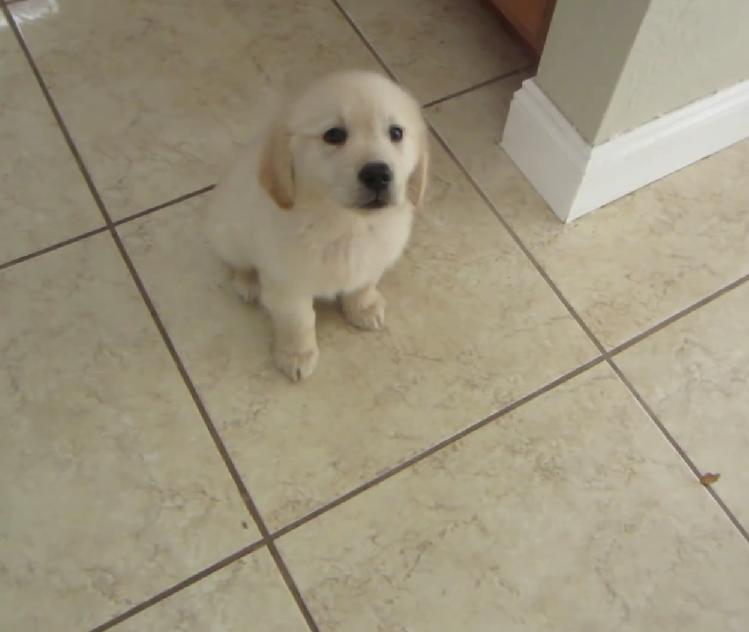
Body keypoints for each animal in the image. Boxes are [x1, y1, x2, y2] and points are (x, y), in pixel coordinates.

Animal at [206, 72, 426, 382]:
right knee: (239, 262)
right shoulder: (288, 284)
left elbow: (364, 283)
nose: (378, 174)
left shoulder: (375, 257)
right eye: (334, 135)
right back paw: (248, 283)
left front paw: (364, 306)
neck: (346, 223)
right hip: (226, 233)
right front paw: (296, 354)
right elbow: (298, 320)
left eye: (396, 133)